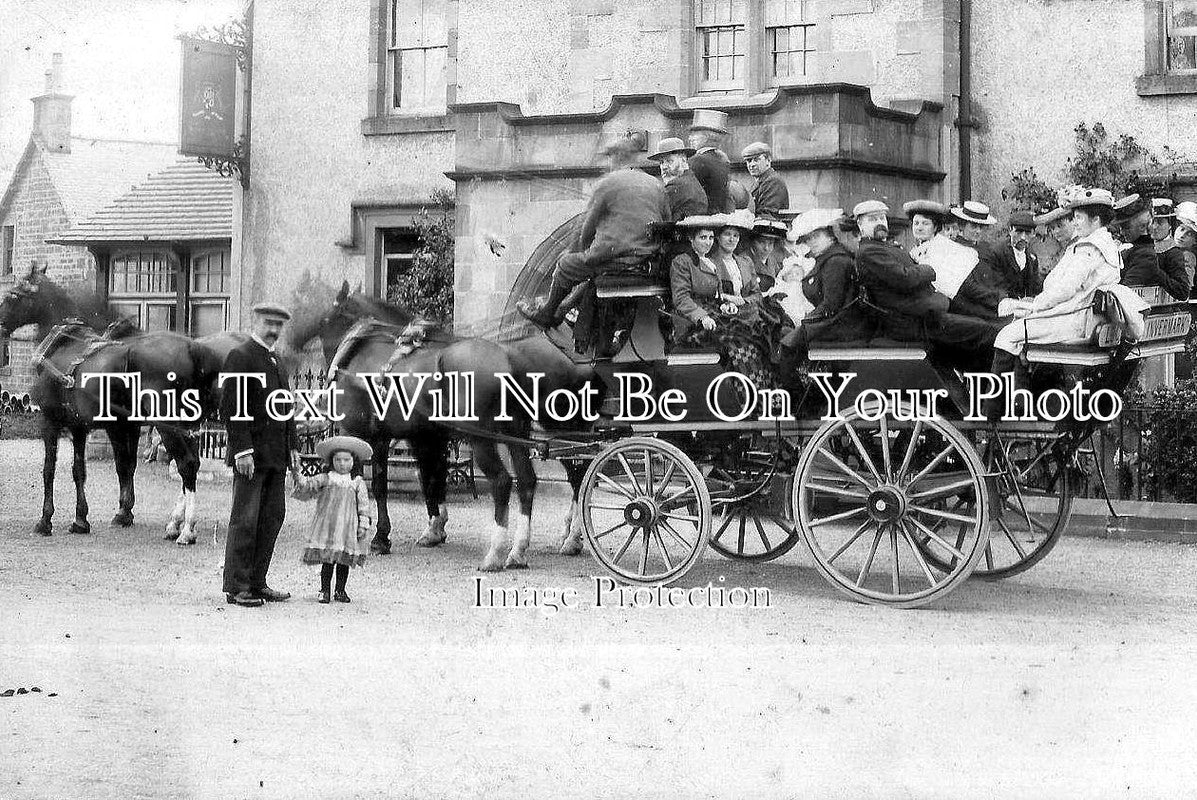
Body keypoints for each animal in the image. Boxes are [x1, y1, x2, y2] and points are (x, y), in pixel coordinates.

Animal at [284, 281, 593, 567]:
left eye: (320, 309)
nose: (291, 339)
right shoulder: (425, 436)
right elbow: (431, 478)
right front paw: (435, 528)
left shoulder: (367, 436)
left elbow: (378, 485)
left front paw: (380, 537)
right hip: (518, 430)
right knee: (529, 481)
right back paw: (520, 550)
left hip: (504, 434)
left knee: (516, 481)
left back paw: (510, 550)